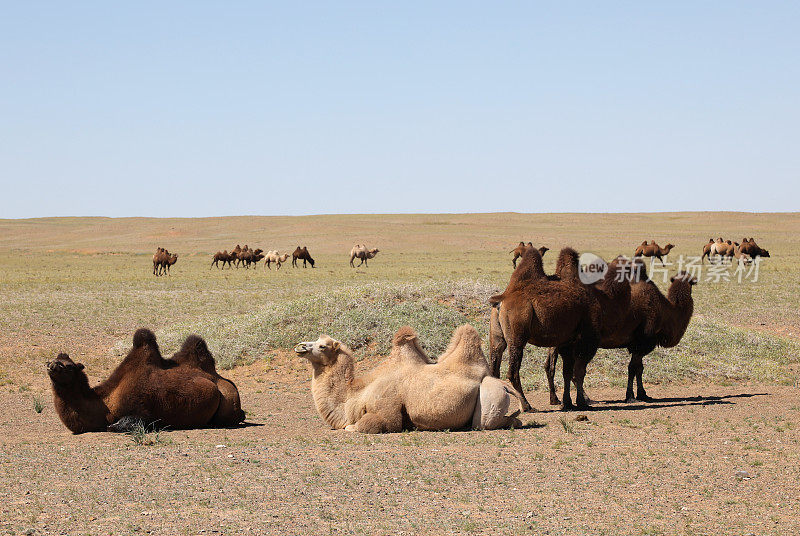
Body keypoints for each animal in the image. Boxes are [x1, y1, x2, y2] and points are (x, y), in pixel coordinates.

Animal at [46, 328, 244, 434]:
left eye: (69, 366)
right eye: (53, 361)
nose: (51, 365)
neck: (106, 403)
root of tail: (221, 379)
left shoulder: (141, 411)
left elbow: (116, 426)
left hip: (228, 401)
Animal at [296, 324, 524, 434]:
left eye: (322, 346)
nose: (300, 346)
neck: (356, 393)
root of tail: (504, 386)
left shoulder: (388, 411)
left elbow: (363, 426)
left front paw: (351, 427)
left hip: (490, 395)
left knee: (489, 422)